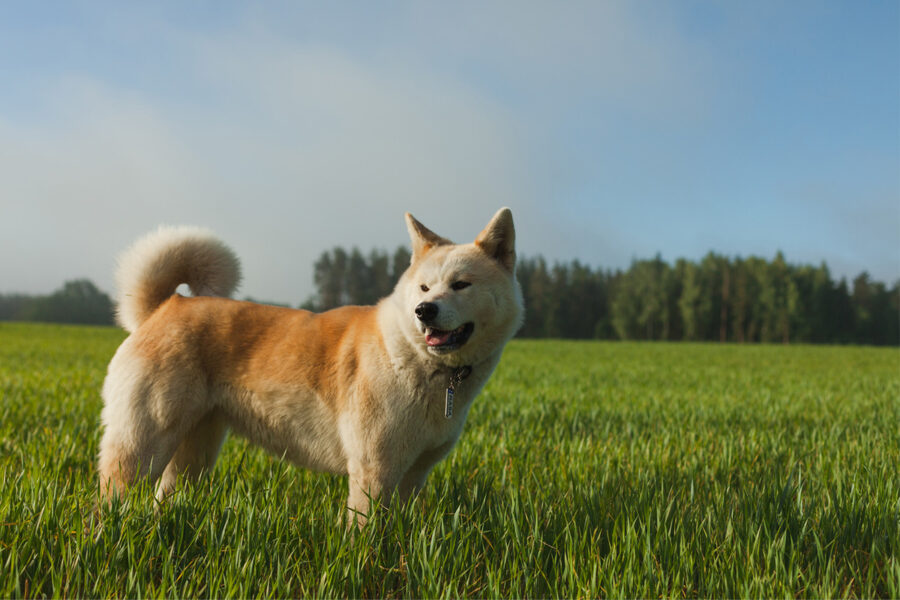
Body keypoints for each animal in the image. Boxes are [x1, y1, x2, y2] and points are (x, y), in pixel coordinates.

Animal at [97, 207, 524, 524]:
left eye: (461, 284)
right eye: (424, 287)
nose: (424, 310)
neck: (419, 363)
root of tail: (164, 307)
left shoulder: (414, 476)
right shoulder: (373, 472)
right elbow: (366, 537)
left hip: (193, 455)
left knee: (164, 497)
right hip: (141, 445)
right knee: (110, 498)